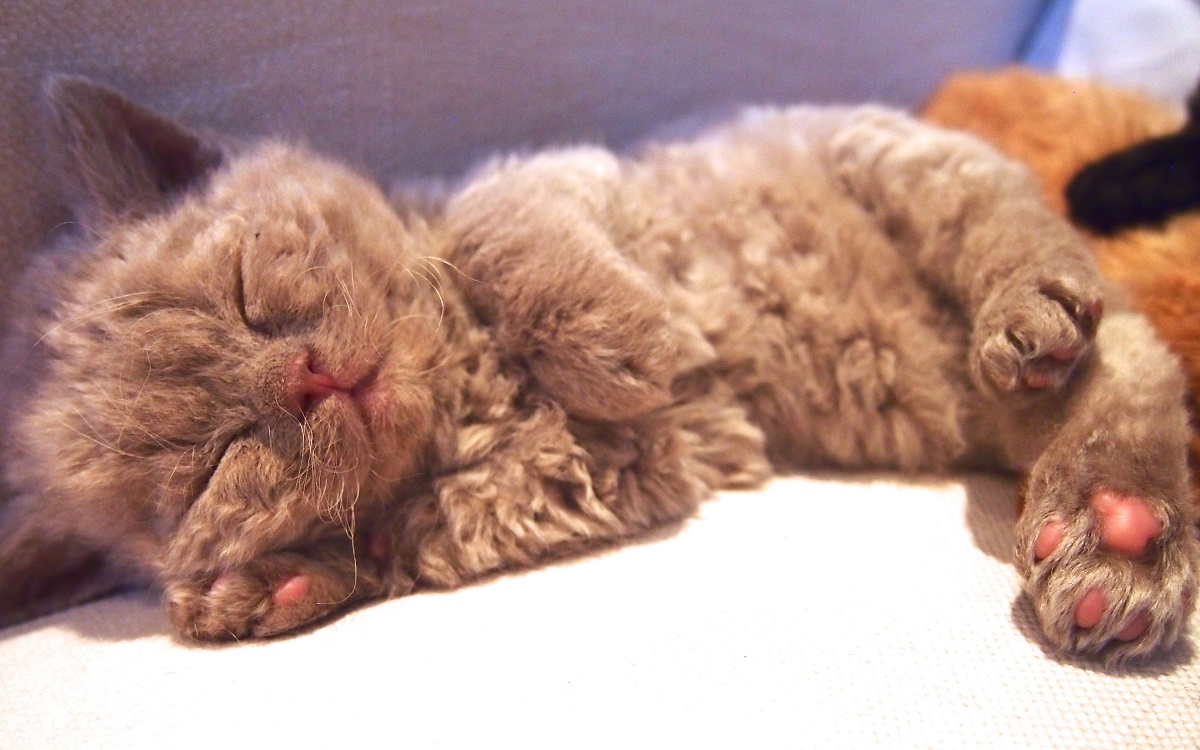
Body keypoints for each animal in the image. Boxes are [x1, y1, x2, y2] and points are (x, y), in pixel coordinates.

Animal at [0, 77, 1195, 662]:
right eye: (211, 464)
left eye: (250, 291)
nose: (306, 383)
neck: (468, 388)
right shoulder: (577, 483)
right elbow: (395, 543)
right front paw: (264, 589)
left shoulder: (560, 179)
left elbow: (498, 231)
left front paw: (627, 336)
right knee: (1130, 389)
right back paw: (1118, 536)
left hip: (891, 155)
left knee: (1038, 268)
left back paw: (1036, 342)